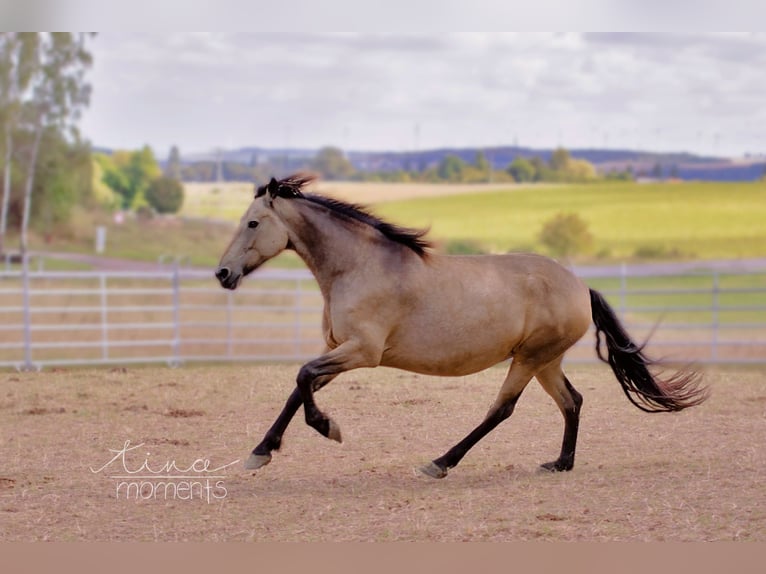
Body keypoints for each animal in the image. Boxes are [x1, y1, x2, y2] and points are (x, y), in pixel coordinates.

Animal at [214, 173, 708, 480]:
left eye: (253, 223)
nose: (222, 274)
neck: (359, 266)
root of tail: (580, 286)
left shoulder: (362, 352)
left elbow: (302, 378)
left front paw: (327, 428)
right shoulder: (340, 350)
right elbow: (300, 385)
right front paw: (260, 453)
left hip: (530, 358)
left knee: (501, 409)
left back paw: (439, 462)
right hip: (544, 360)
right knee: (572, 401)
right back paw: (559, 464)